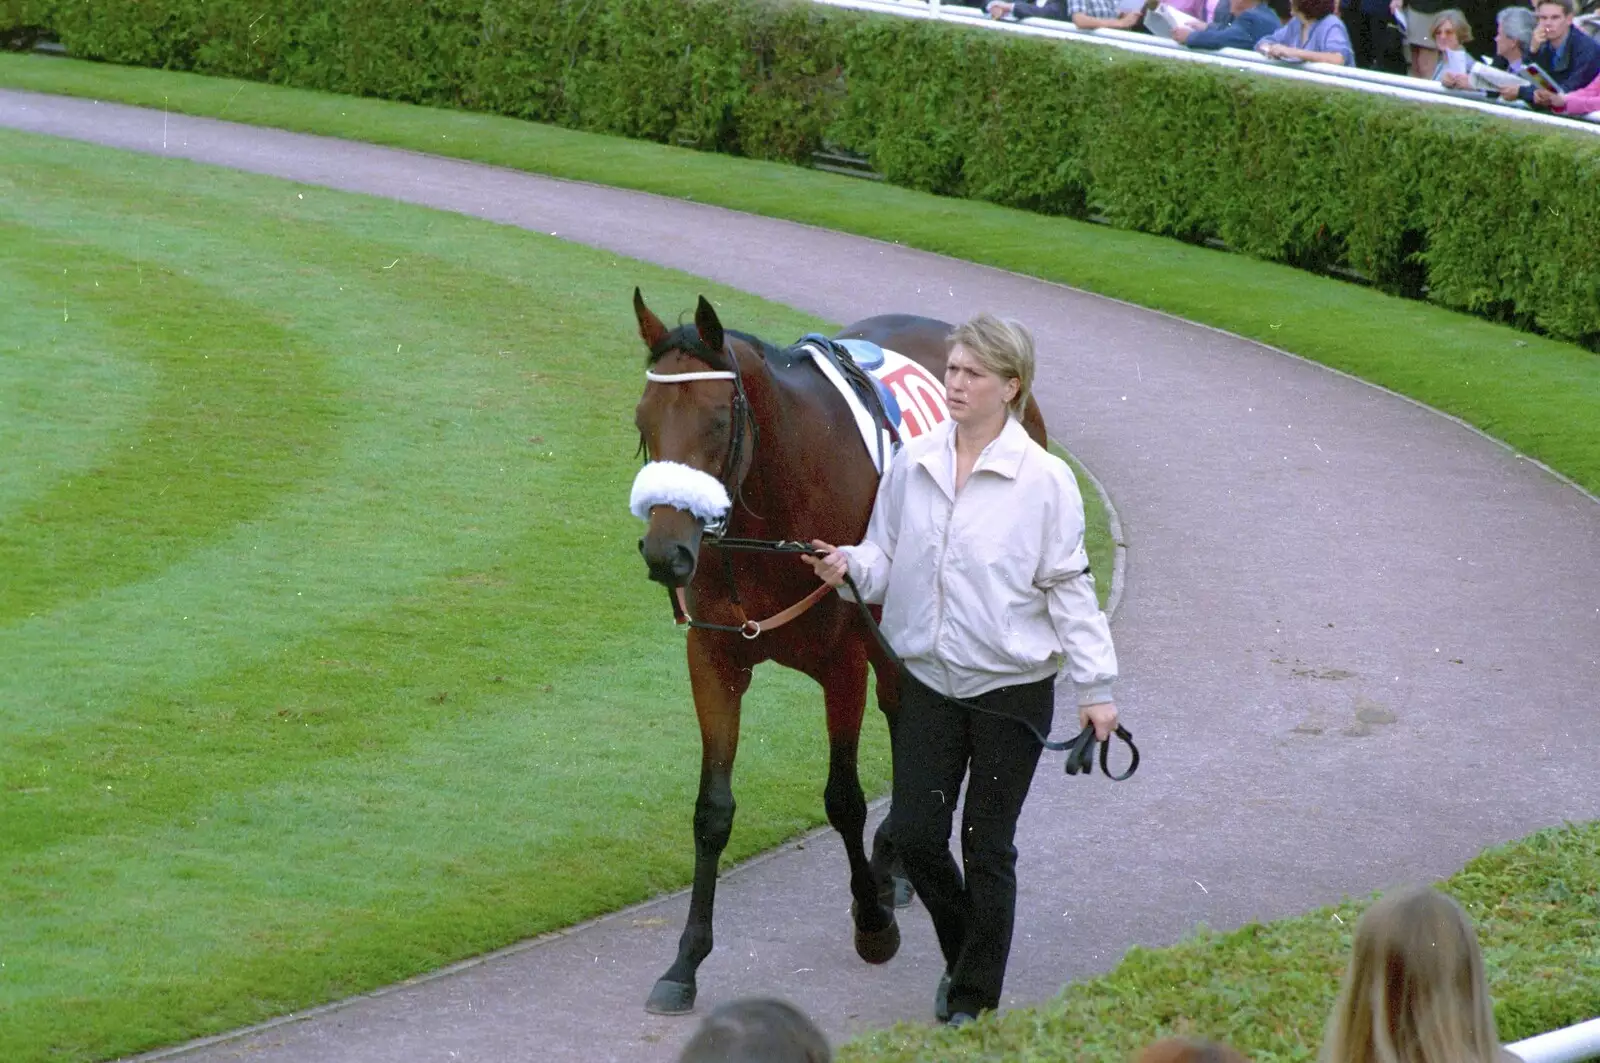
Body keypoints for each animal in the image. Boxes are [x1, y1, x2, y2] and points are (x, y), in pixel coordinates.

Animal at [624, 288, 1049, 1011]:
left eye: (717, 419)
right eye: (642, 419)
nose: (666, 551)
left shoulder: (843, 661)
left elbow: (843, 798)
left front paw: (872, 924)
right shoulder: (714, 658)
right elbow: (712, 811)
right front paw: (685, 960)